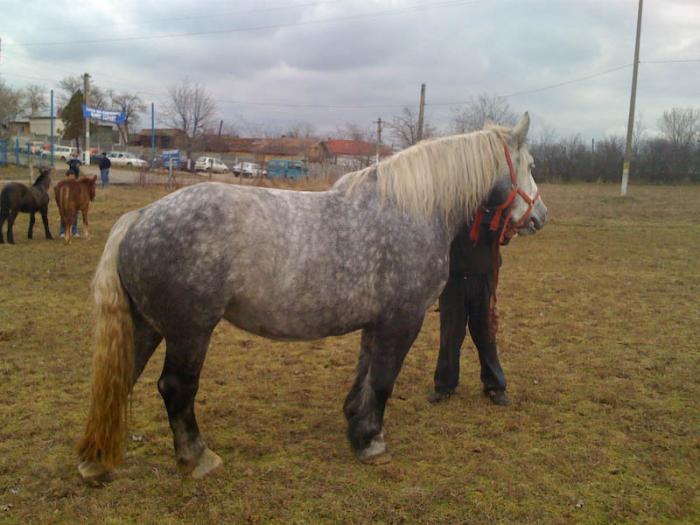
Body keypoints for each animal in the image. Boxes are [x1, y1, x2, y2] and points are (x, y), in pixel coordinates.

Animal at [76, 112, 548, 482]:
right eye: (529, 163)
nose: (539, 217)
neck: (410, 210)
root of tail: (139, 219)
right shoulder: (403, 319)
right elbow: (384, 381)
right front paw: (372, 443)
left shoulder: (376, 322)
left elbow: (365, 374)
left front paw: (355, 425)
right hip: (189, 332)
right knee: (176, 388)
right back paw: (197, 458)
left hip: (146, 326)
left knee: (122, 378)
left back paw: (94, 462)